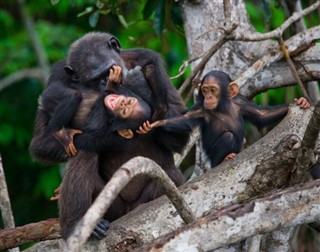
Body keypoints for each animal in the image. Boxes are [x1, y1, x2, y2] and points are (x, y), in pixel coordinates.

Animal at [139, 69, 312, 167]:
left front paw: (300, 101)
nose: (208, 97)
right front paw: (157, 123)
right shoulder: (200, 110)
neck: (223, 106)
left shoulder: (241, 103)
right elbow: (184, 120)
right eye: (205, 90)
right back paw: (224, 159)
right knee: (227, 137)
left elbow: (262, 115)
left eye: (213, 90)